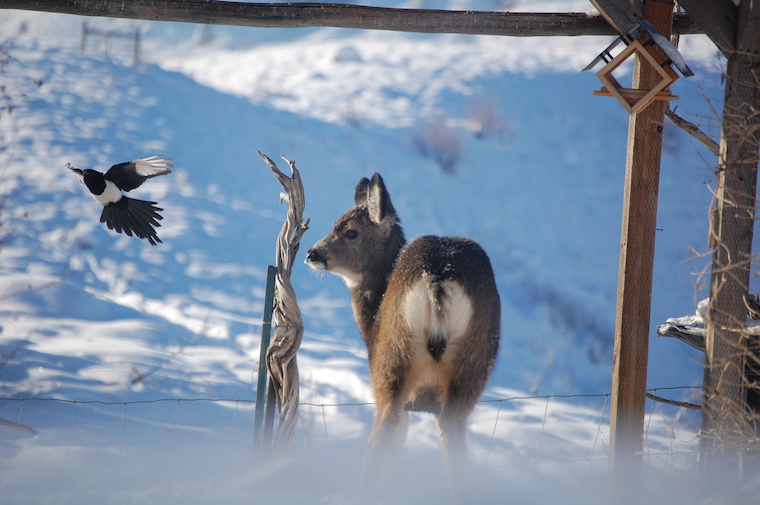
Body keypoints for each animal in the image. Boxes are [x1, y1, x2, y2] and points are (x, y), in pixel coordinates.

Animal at [305, 173, 500, 501]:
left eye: (351, 232)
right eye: (335, 223)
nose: (312, 253)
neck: (371, 321)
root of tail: (439, 275)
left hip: (392, 358)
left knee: (385, 427)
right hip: (471, 366)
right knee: (453, 436)